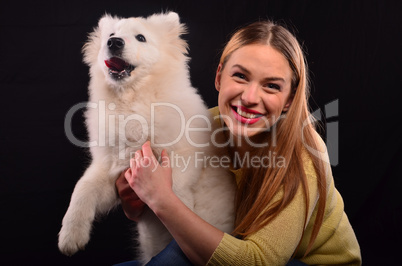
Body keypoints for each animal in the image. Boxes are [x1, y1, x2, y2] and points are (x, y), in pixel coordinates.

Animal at [59, 11, 236, 264]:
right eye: (111, 35)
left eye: (140, 37)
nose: (114, 42)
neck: (132, 102)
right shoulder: (112, 169)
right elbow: (82, 189)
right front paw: (70, 237)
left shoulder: (184, 157)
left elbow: (175, 191)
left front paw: (182, 219)